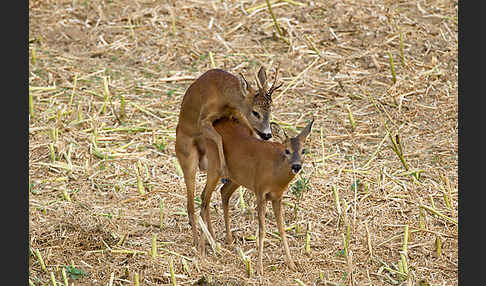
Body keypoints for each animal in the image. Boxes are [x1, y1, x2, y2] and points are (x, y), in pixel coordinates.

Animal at [175, 67, 280, 246]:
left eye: (270, 110)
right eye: (255, 112)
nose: (267, 134)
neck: (224, 96)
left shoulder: (236, 115)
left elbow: (247, 131)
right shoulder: (203, 119)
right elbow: (218, 138)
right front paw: (224, 165)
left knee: (205, 198)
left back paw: (214, 238)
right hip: (188, 159)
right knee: (191, 203)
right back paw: (197, 241)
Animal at [198, 117, 316, 276]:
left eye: (303, 150)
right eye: (287, 150)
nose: (296, 166)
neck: (275, 174)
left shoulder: (277, 196)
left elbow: (281, 228)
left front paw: (292, 264)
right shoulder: (260, 192)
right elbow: (262, 230)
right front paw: (259, 268)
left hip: (237, 176)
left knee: (223, 192)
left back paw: (226, 240)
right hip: (215, 167)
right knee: (205, 196)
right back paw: (205, 247)